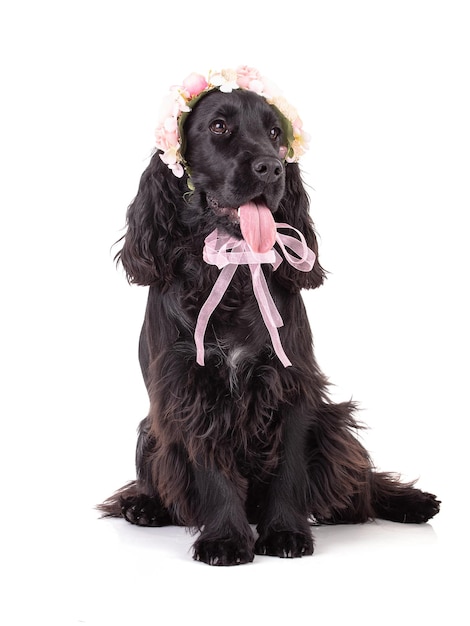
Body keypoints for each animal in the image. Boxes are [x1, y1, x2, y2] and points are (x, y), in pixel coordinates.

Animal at [100, 69, 440, 564]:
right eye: (219, 127)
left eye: (276, 134)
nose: (271, 167)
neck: (234, 266)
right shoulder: (190, 387)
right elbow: (211, 468)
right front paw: (225, 539)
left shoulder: (291, 382)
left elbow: (289, 467)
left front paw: (284, 533)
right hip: (150, 432)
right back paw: (143, 505)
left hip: (330, 423)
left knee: (360, 483)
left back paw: (410, 502)